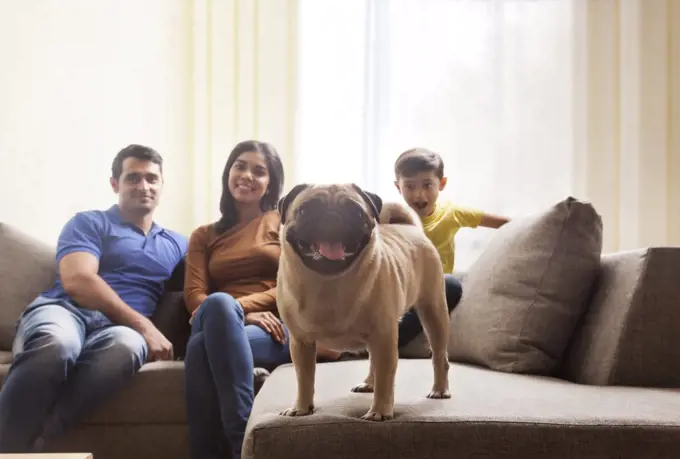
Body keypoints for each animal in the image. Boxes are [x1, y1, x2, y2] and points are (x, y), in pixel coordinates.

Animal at [276, 182, 452, 420]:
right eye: (305, 210)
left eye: (356, 212)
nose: (332, 216)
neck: (328, 283)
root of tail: (411, 228)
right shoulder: (301, 343)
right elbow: (304, 379)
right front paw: (302, 407)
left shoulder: (385, 337)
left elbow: (386, 379)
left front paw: (380, 411)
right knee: (372, 361)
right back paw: (368, 383)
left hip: (433, 313)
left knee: (439, 357)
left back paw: (440, 389)